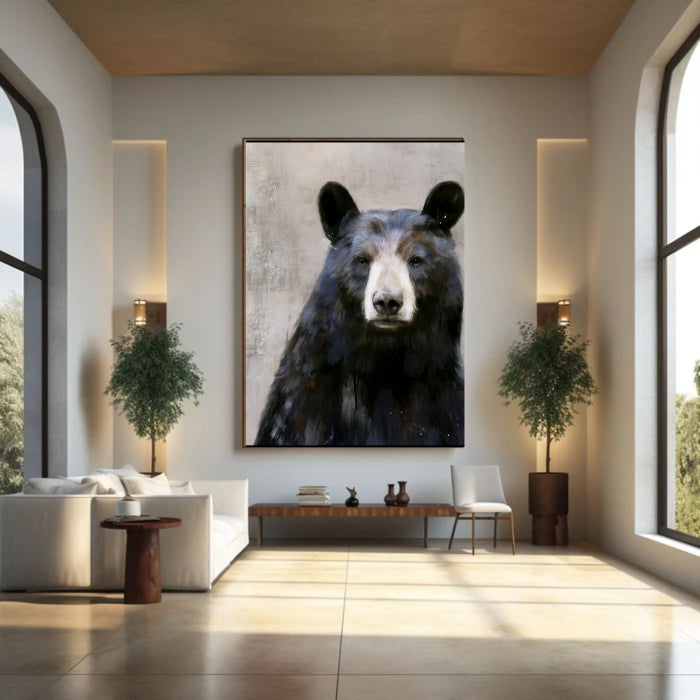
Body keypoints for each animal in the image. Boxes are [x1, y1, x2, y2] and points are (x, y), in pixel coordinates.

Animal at [255, 180, 465, 447]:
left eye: (416, 260)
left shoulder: (441, 396)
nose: (387, 301)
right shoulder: (304, 400)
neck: (384, 359)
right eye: (362, 259)